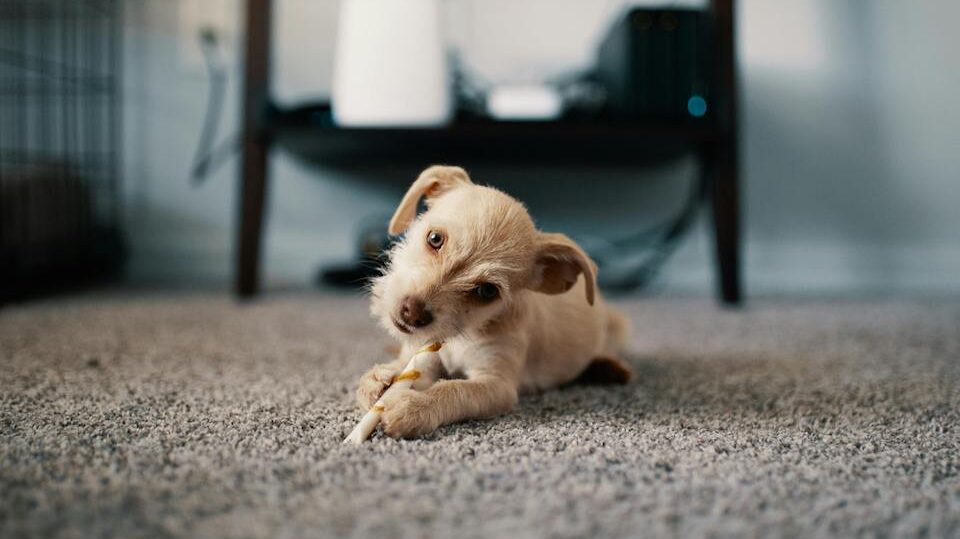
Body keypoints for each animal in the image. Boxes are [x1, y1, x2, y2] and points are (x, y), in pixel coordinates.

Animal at [360, 165, 632, 438]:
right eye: (435, 238)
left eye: (487, 291)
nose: (412, 313)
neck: (460, 336)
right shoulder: (423, 356)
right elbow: (406, 369)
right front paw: (380, 379)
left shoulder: (497, 385)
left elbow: (454, 390)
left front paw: (414, 406)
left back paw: (609, 368)